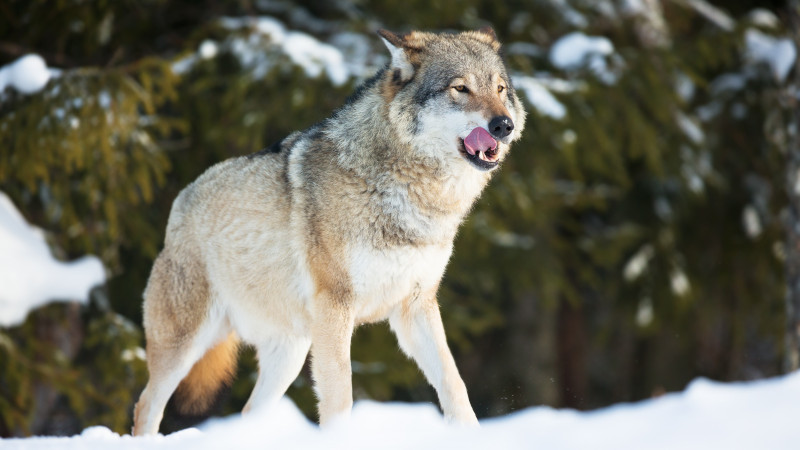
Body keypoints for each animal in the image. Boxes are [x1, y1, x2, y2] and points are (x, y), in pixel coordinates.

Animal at [131, 26, 524, 434]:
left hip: (289, 353)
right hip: (184, 345)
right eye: (460, 88)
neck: (408, 191)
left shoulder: (416, 306)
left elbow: (454, 384)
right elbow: (340, 396)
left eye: (499, 89)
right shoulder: (336, 305)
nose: (504, 125)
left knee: (247, 412)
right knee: (146, 406)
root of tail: (183, 199)